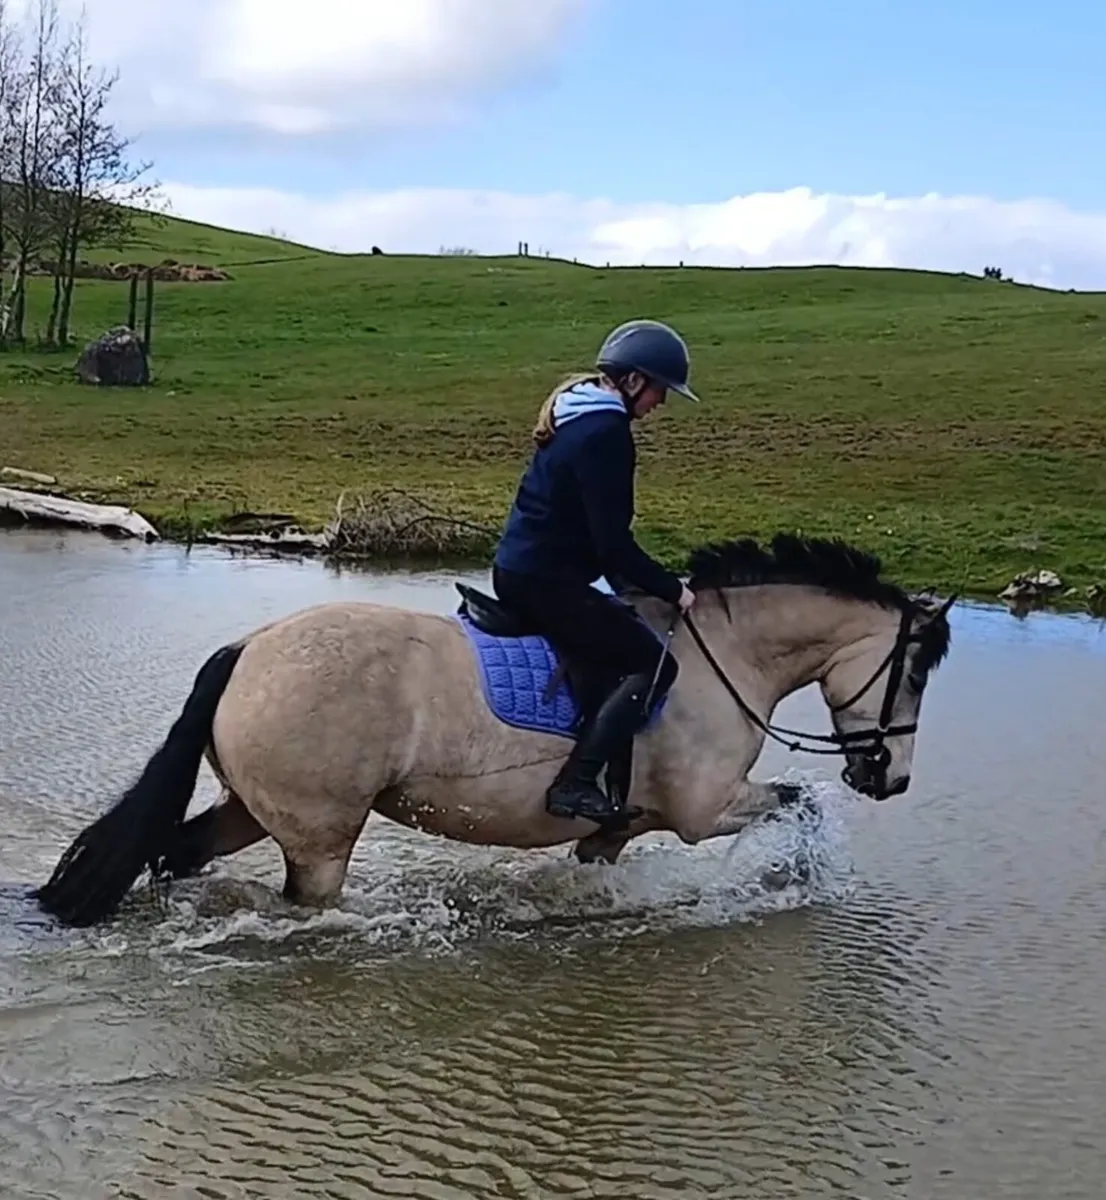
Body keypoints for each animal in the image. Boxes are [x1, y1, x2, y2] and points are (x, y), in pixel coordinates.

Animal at [33, 533, 955, 928]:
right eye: (914, 671)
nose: (892, 778)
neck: (721, 654)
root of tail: (249, 647)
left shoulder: (616, 830)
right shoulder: (704, 812)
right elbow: (799, 804)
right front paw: (795, 877)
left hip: (254, 810)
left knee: (175, 853)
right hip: (319, 838)